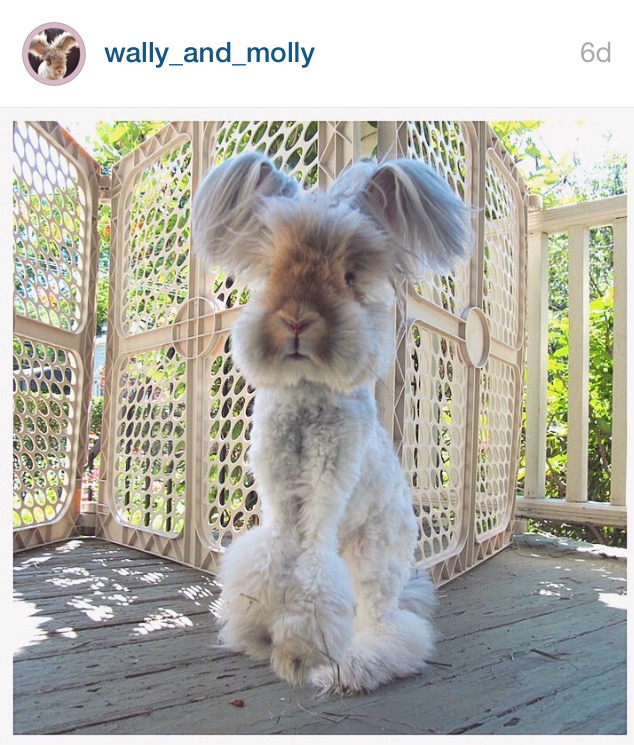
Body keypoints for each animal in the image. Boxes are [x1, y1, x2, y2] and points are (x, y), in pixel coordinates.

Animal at [193, 151, 473, 693]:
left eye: (349, 275)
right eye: (273, 268)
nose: (297, 320)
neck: (307, 394)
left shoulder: (328, 487)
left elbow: (312, 566)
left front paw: (297, 650)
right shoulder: (278, 490)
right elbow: (273, 553)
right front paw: (258, 631)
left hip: (374, 560)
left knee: (389, 624)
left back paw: (354, 667)